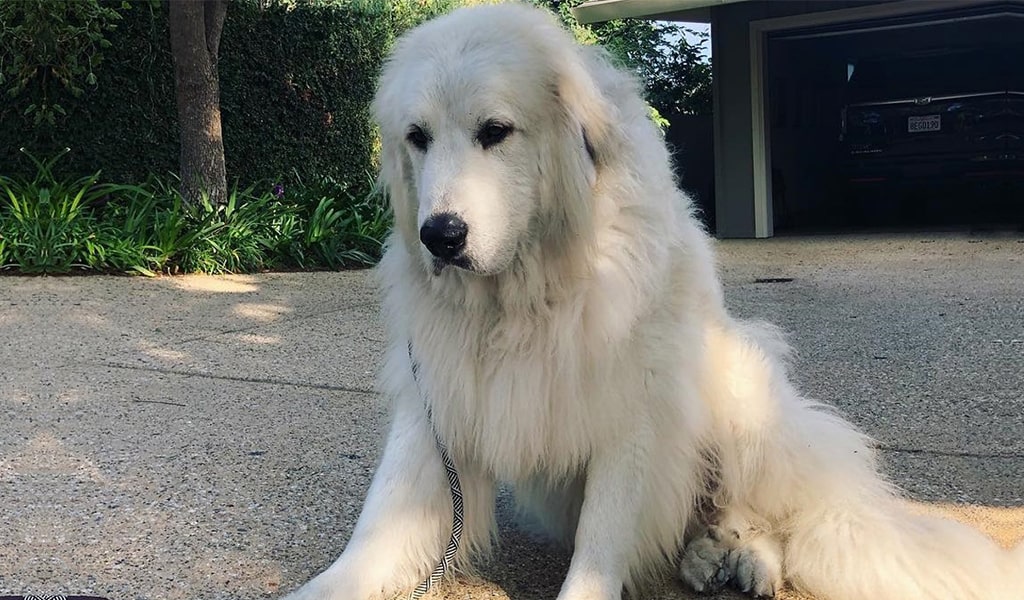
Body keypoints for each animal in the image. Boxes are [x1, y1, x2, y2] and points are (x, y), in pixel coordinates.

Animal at [284, 4, 1019, 597]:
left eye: (495, 130)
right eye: (418, 137)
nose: (439, 236)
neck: (526, 297)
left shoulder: (629, 415)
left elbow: (601, 541)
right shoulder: (436, 409)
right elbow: (375, 535)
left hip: (741, 388)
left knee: (759, 512)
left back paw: (747, 563)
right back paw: (703, 558)